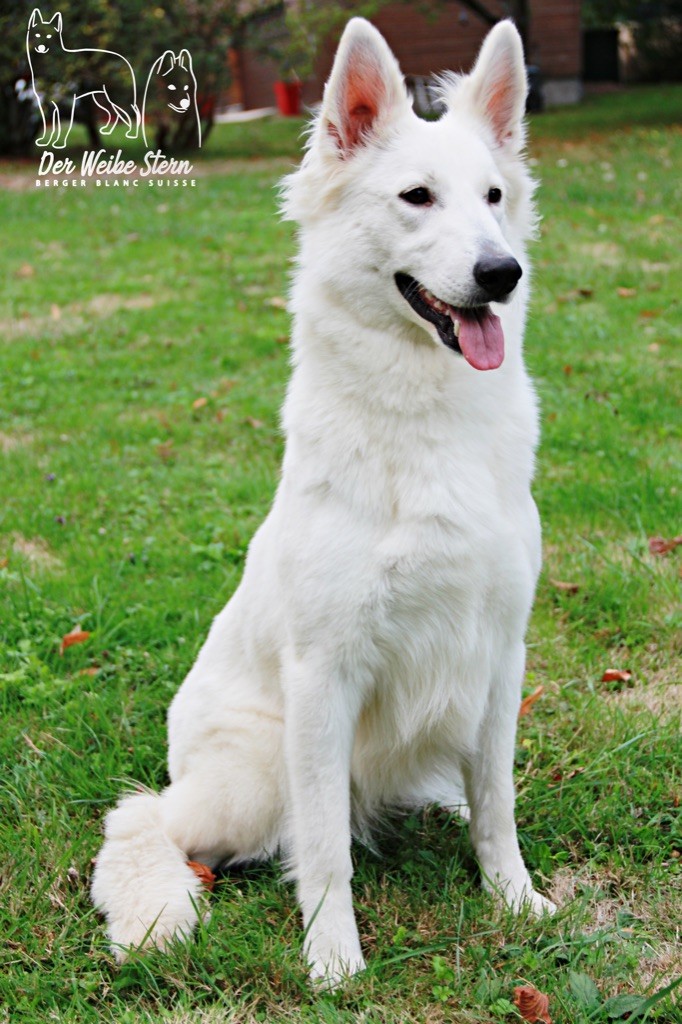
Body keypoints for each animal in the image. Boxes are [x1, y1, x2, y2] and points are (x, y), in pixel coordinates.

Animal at [91, 16, 557, 987]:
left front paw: (515, 898)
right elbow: (327, 850)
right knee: (141, 816)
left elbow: (499, 804)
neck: (425, 422)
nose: (502, 272)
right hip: (248, 779)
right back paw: (157, 906)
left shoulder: (501, 655)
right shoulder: (324, 676)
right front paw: (333, 956)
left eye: (494, 196)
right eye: (417, 197)